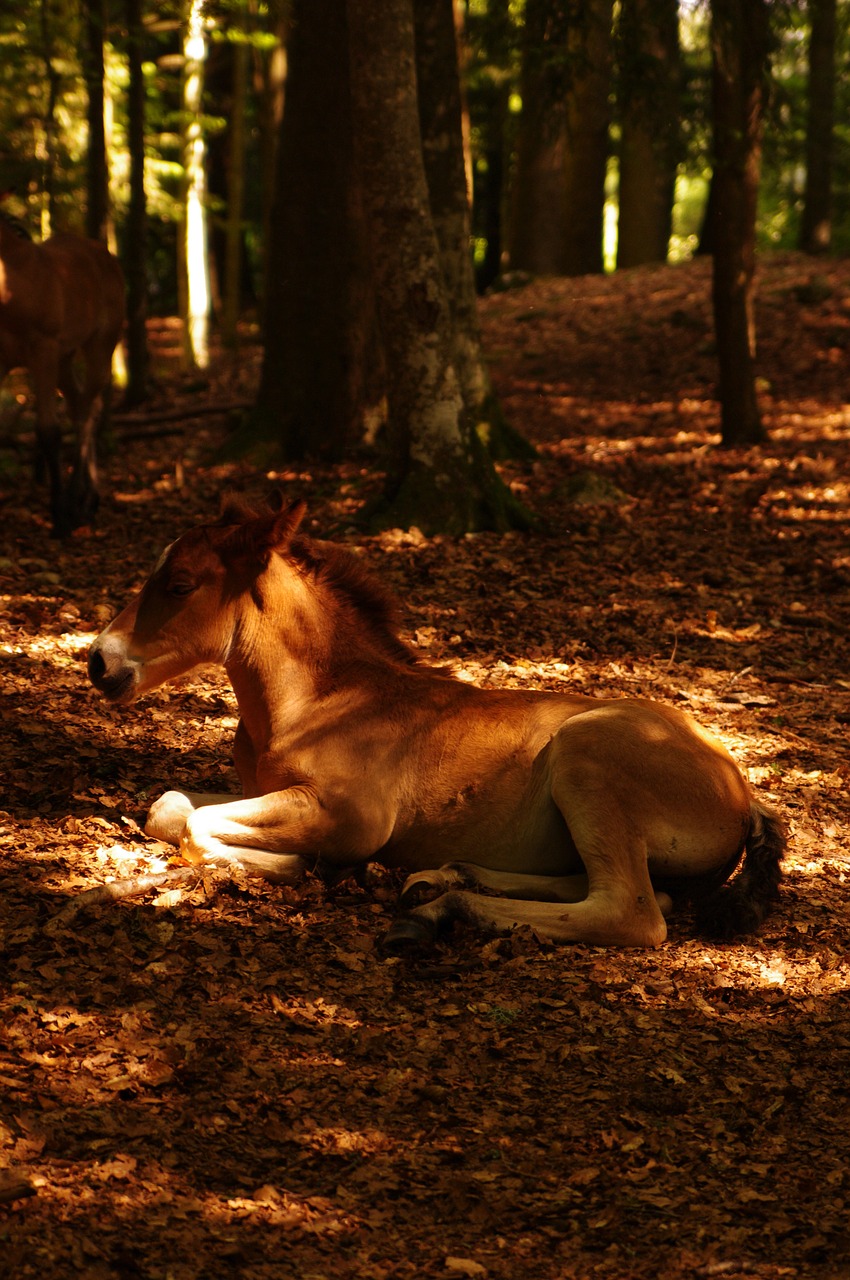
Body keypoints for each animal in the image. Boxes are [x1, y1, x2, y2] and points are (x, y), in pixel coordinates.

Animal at [0, 217, 124, 537]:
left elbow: (48, 431)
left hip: (99, 347)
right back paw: (86, 498)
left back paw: (82, 503)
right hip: (64, 360)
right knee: (81, 405)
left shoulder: (43, 351)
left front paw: (60, 517)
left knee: (86, 412)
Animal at [86, 499, 783, 952]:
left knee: (631, 911)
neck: (323, 701)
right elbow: (170, 808)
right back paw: (443, 878)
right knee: (629, 891)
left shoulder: (353, 818)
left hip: (587, 755)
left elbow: (196, 826)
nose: (100, 661)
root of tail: (742, 793)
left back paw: (440, 910)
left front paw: (303, 865)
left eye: (180, 583)